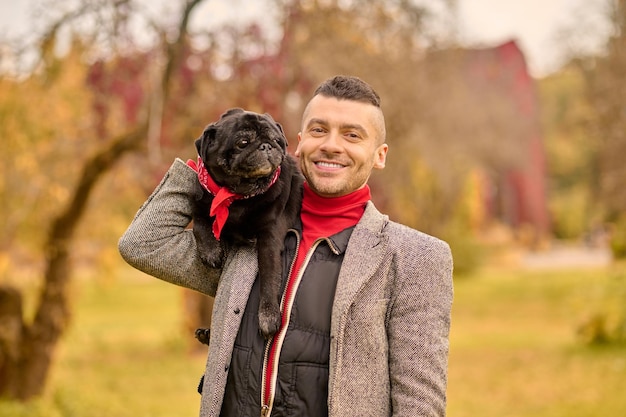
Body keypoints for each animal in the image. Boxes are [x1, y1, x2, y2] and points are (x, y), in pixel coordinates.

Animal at [190, 107, 302, 338]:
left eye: (276, 140)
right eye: (243, 142)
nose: (266, 145)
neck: (238, 197)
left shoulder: (269, 238)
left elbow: (268, 280)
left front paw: (268, 317)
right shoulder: (200, 202)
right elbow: (199, 224)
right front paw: (210, 251)